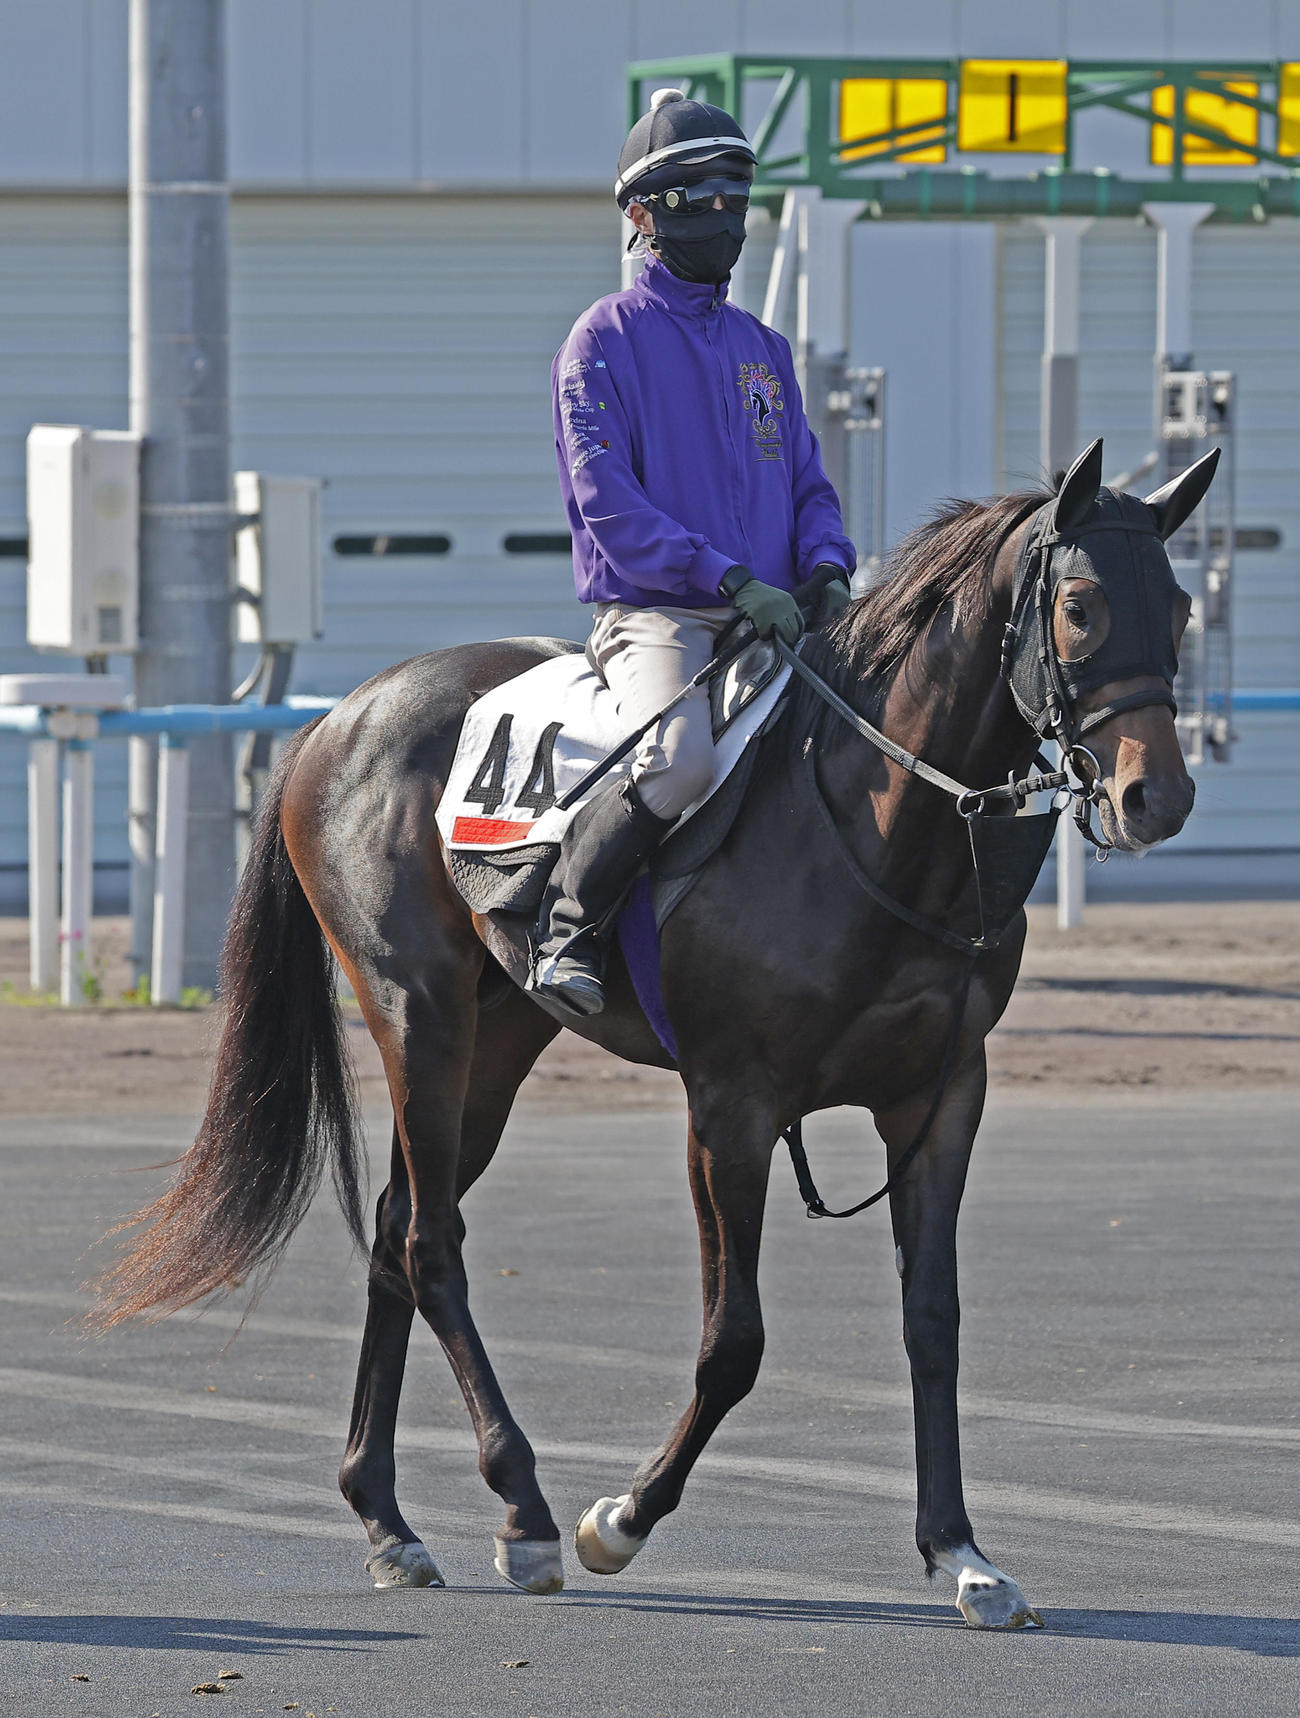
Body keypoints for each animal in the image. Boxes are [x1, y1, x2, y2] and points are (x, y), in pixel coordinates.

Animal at [91, 440, 1216, 1628]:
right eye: (1082, 606)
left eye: (1181, 604)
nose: (1157, 794)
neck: (866, 821)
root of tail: (344, 713)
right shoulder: (730, 1108)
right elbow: (735, 1344)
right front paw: (620, 1518)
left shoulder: (939, 1100)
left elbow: (933, 1322)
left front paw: (958, 1548)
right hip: (419, 1017)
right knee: (428, 1243)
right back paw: (524, 1507)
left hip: (497, 1044)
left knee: (400, 1227)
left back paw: (385, 1516)